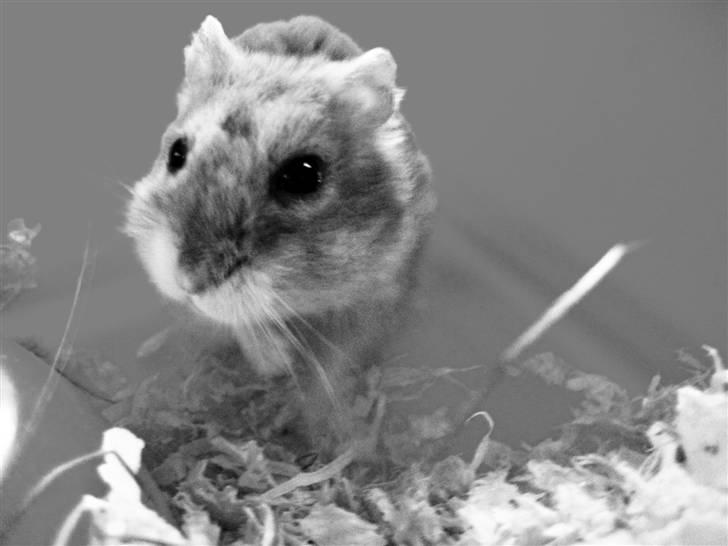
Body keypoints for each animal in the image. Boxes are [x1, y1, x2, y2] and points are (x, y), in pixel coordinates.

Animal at [124, 15, 436, 434]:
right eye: (176, 153)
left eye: (304, 175)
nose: (188, 283)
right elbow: (241, 325)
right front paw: (274, 363)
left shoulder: (379, 293)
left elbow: (335, 364)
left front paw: (316, 419)